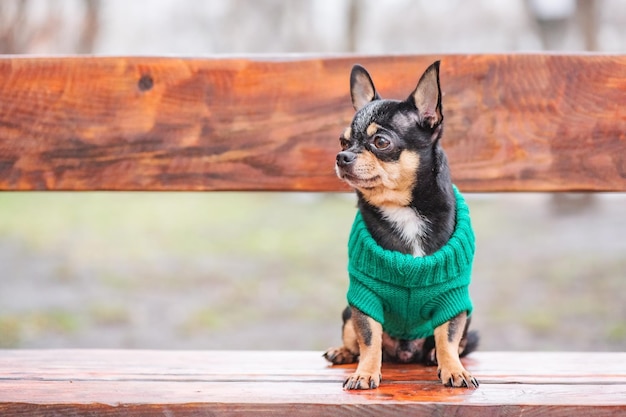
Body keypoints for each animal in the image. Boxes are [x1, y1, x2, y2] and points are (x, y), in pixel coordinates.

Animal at [324, 60, 476, 388]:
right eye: (343, 141)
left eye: (381, 142)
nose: (342, 156)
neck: (403, 210)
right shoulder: (364, 297)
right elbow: (369, 338)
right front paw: (365, 372)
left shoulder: (453, 297)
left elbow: (448, 337)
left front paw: (454, 368)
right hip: (346, 312)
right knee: (356, 338)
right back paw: (343, 352)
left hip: (469, 315)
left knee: (455, 341)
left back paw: (433, 356)